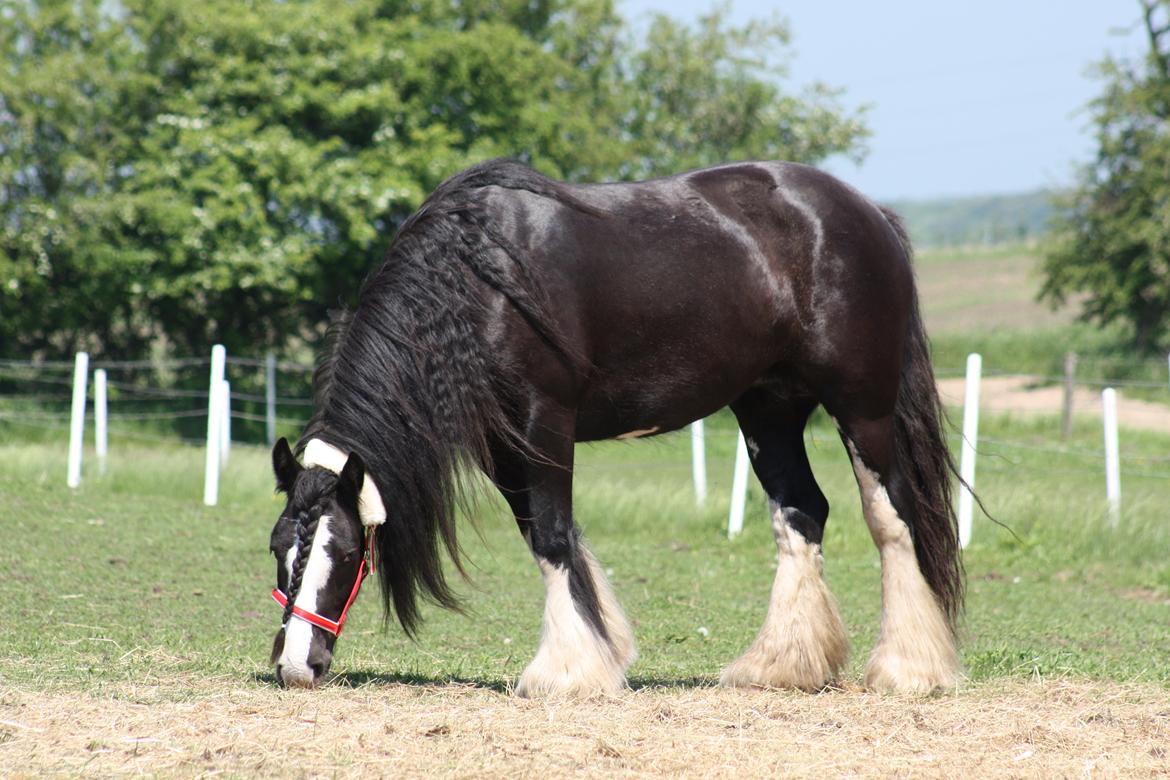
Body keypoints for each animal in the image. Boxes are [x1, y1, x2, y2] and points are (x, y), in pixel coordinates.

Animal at [269, 159, 964, 696]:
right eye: (279, 550)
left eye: (346, 552)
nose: (295, 668)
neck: (478, 281)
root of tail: (869, 212)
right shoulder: (501, 446)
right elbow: (547, 536)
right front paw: (604, 651)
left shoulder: (545, 422)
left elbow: (552, 537)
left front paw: (567, 672)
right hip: (769, 408)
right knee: (801, 512)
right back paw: (780, 666)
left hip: (862, 407)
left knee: (892, 517)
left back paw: (908, 669)